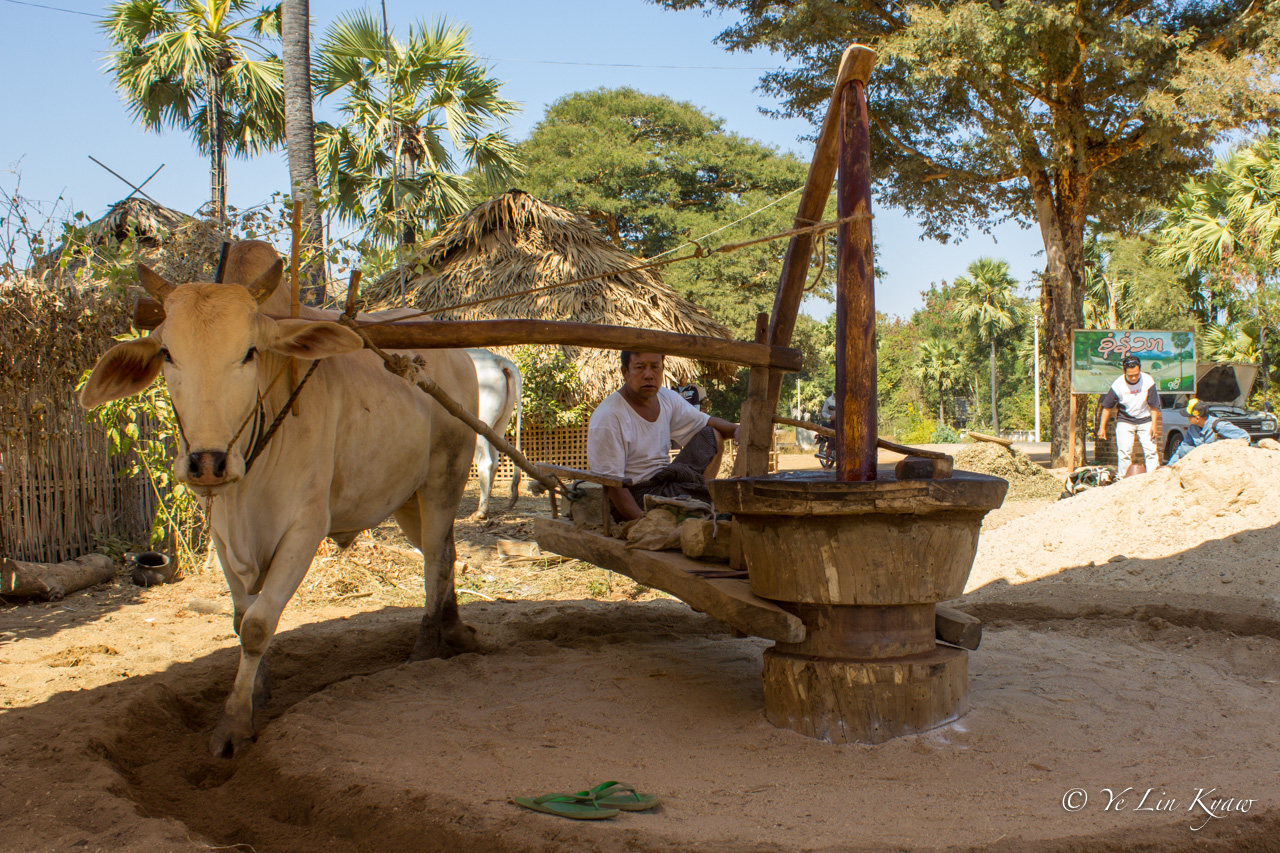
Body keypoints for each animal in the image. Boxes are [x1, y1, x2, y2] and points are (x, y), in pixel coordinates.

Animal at [81, 242, 481, 753]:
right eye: (168, 353)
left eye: (250, 352)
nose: (207, 463)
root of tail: (458, 353)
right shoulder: (223, 536)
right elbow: (240, 616)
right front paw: (258, 691)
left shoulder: (304, 529)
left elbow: (256, 626)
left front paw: (233, 722)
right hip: (409, 499)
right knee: (446, 551)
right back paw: (453, 628)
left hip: (444, 479)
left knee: (434, 559)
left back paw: (427, 645)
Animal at [468, 348, 522, 517]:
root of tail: (496, 359)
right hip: (499, 425)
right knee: (495, 463)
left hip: (480, 425)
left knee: (486, 463)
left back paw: (481, 512)